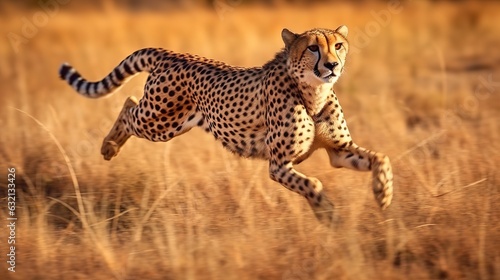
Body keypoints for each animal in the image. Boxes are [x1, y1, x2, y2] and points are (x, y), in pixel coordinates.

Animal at [58, 25, 392, 224]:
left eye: (338, 45)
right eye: (313, 48)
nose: (332, 65)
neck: (313, 92)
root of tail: (172, 53)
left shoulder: (339, 150)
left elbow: (381, 157)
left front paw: (383, 194)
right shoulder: (278, 165)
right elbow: (313, 184)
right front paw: (328, 213)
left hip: (166, 122)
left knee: (128, 102)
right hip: (159, 122)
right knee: (128, 107)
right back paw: (109, 146)